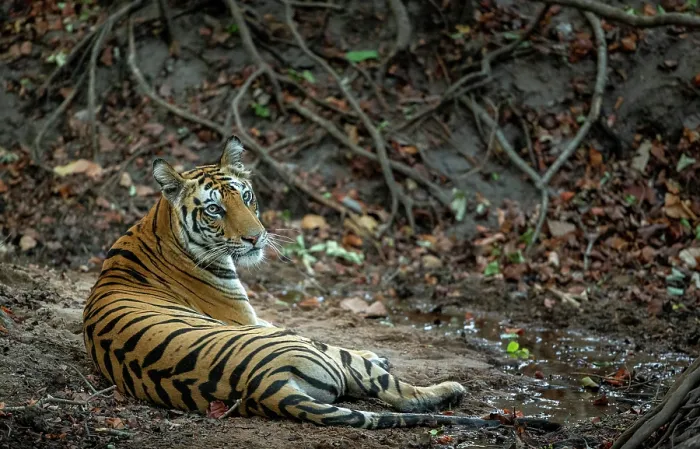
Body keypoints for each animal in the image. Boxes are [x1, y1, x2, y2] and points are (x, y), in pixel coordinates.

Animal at [82, 136, 496, 429]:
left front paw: (374, 350)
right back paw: (449, 389)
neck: (159, 227)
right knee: (398, 391)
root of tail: (265, 388)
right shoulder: (248, 318)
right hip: (312, 350)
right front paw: (375, 354)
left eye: (246, 196)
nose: (255, 238)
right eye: (214, 209)